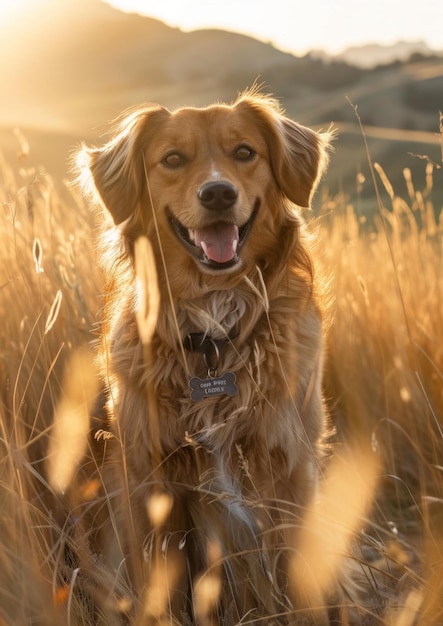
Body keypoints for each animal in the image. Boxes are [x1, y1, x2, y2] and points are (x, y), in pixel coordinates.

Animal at [77, 89, 332, 624]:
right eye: (173, 159)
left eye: (245, 152)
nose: (218, 194)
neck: (214, 328)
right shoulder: (151, 482)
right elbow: (163, 587)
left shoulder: (291, 471)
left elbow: (300, 587)